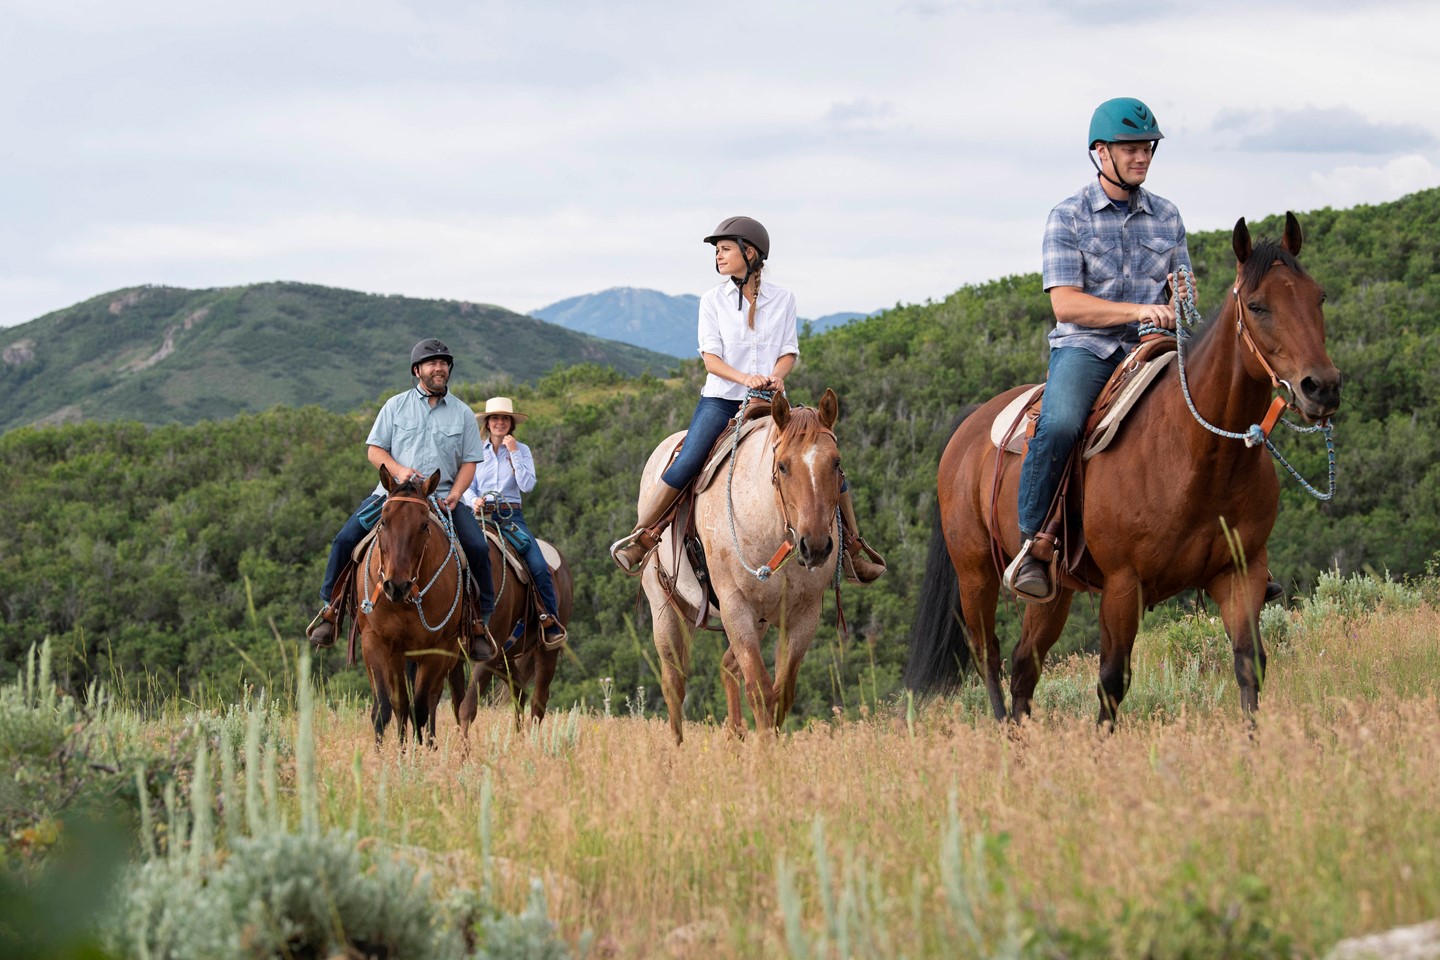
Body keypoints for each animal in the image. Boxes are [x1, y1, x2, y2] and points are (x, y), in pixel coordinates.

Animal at [357, 469, 469, 748]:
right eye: (383, 522)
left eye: (424, 526)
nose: (396, 585)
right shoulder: (377, 642)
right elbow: (387, 707)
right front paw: (392, 754)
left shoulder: (434, 650)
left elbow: (420, 707)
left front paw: (418, 754)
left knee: (436, 699)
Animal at [460, 538, 573, 731]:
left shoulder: (488, 655)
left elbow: (467, 706)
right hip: (505, 658)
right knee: (519, 690)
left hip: (546, 651)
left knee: (538, 700)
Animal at [639, 388, 840, 742]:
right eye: (783, 466)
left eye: (836, 463)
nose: (815, 546)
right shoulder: (736, 607)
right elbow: (760, 691)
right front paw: (765, 754)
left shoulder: (803, 615)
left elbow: (782, 694)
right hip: (666, 608)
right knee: (674, 682)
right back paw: (676, 750)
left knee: (726, 667)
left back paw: (734, 734)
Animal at [904, 215, 1342, 728]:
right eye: (1257, 305)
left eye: (1318, 297)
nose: (1322, 387)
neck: (1199, 455)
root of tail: (969, 426)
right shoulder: (1122, 584)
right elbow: (1112, 681)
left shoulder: (1242, 571)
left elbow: (1249, 665)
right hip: (974, 575)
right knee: (988, 657)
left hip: (1053, 592)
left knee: (1023, 665)